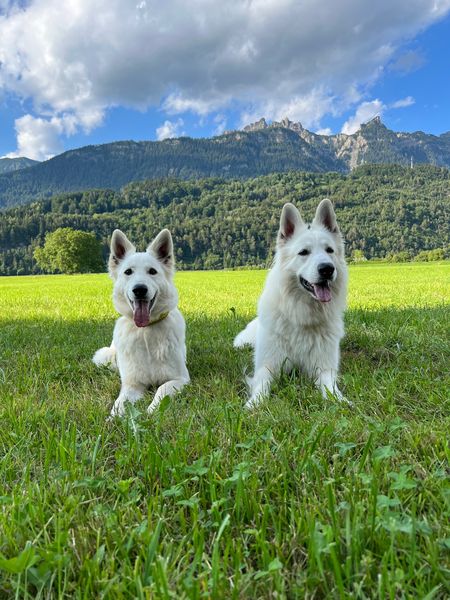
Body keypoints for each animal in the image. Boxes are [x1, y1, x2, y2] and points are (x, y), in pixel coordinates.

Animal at [93, 229, 188, 418]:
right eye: (128, 272)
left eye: (152, 271)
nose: (139, 289)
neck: (145, 332)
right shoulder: (132, 384)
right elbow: (119, 402)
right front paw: (113, 418)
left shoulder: (180, 379)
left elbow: (162, 389)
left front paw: (152, 410)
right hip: (105, 357)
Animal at [234, 199, 350, 410]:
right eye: (303, 252)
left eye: (329, 250)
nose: (327, 269)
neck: (301, 314)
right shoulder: (267, 366)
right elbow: (261, 385)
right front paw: (254, 403)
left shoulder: (325, 367)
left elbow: (330, 386)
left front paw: (340, 400)